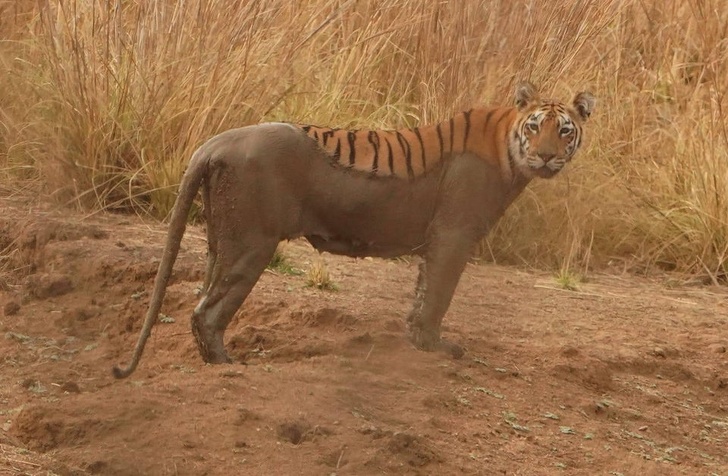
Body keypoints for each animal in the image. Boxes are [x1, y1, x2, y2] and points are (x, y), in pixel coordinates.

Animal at [112, 82, 592, 380]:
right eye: (535, 127)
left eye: (564, 130)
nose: (546, 156)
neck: (509, 150)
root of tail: (215, 141)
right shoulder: (454, 237)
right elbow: (438, 296)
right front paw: (434, 347)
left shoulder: (437, 243)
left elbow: (423, 293)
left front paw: (416, 341)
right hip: (251, 245)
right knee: (207, 311)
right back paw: (226, 364)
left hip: (220, 240)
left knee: (201, 301)